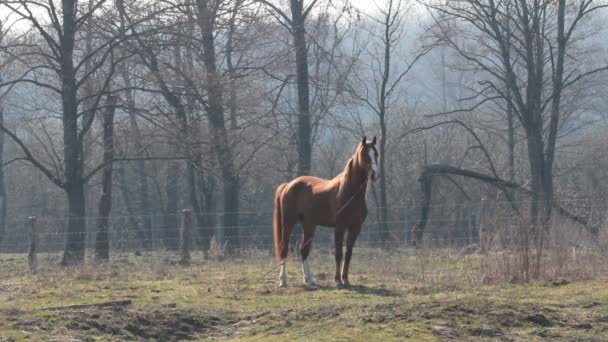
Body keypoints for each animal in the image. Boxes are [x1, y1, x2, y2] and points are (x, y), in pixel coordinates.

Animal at [274, 136, 378, 286]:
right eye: (365, 155)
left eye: (376, 154)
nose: (375, 174)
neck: (349, 192)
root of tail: (288, 185)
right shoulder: (339, 227)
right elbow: (339, 253)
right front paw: (338, 280)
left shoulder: (355, 228)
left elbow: (348, 254)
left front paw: (345, 279)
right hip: (288, 222)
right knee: (284, 249)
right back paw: (283, 281)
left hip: (309, 225)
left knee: (303, 249)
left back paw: (309, 279)